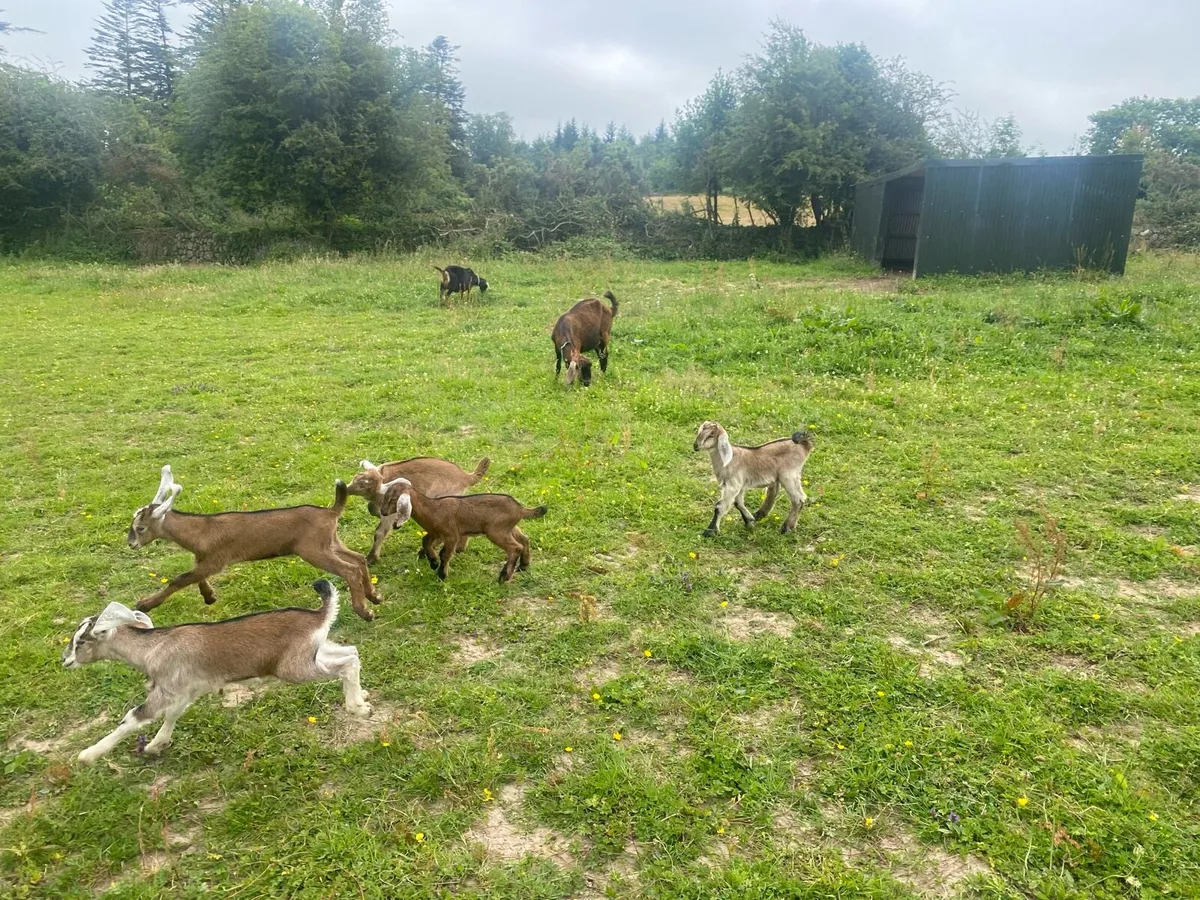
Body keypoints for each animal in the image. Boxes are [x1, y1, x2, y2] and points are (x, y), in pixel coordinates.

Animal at [62, 580, 370, 763]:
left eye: (82, 641)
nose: (65, 661)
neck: (153, 647)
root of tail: (319, 615)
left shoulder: (167, 688)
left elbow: (134, 717)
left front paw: (89, 755)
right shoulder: (187, 690)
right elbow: (173, 714)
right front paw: (156, 745)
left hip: (294, 667)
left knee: (345, 665)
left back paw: (355, 707)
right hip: (314, 653)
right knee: (352, 653)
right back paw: (361, 698)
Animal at [128, 466, 410, 622]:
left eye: (140, 528)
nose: (131, 544)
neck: (201, 530)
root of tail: (331, 511)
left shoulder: (216, 559)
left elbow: (180, 579)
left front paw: (144, 605)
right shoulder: (204, 560)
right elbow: (194, 577)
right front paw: (209, 597)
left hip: (313, 550)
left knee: (349, 569)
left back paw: (365, 612)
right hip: (330, 542)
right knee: (358, 559)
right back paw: (374, 596)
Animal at [347, 456, 490, 563]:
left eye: (363, 486)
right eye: (355, 477)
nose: (346, 489)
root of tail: (466, 477)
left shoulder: (388, 513)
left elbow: (379, 533)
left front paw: (370, 559)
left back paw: (424, 552)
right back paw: (459, 548)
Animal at [380, 478, 546, 583]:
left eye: (393, 499)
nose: (382, 511)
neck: (433, 508)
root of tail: (520, 509)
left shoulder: (451, 534)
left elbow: (445, 554)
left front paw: (441, 575)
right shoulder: (435, 533)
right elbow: (425, 541)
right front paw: (433, 562)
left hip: (496, 531)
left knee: (515, 547)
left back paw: (504, 576)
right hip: (509, 528)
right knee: (524, 539)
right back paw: (523, 566)